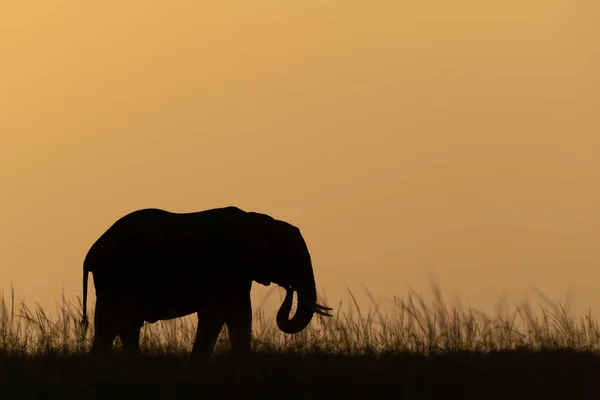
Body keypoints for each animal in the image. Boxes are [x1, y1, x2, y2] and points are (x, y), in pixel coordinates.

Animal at [79, 206, 332, 360]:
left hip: (110, 280)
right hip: (118, 275)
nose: (290, 288)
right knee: (125, 322)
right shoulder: (228, 270)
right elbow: (228, 314)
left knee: (111, 324)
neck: (259, 221)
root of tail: (91, 252)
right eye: (293, 258)